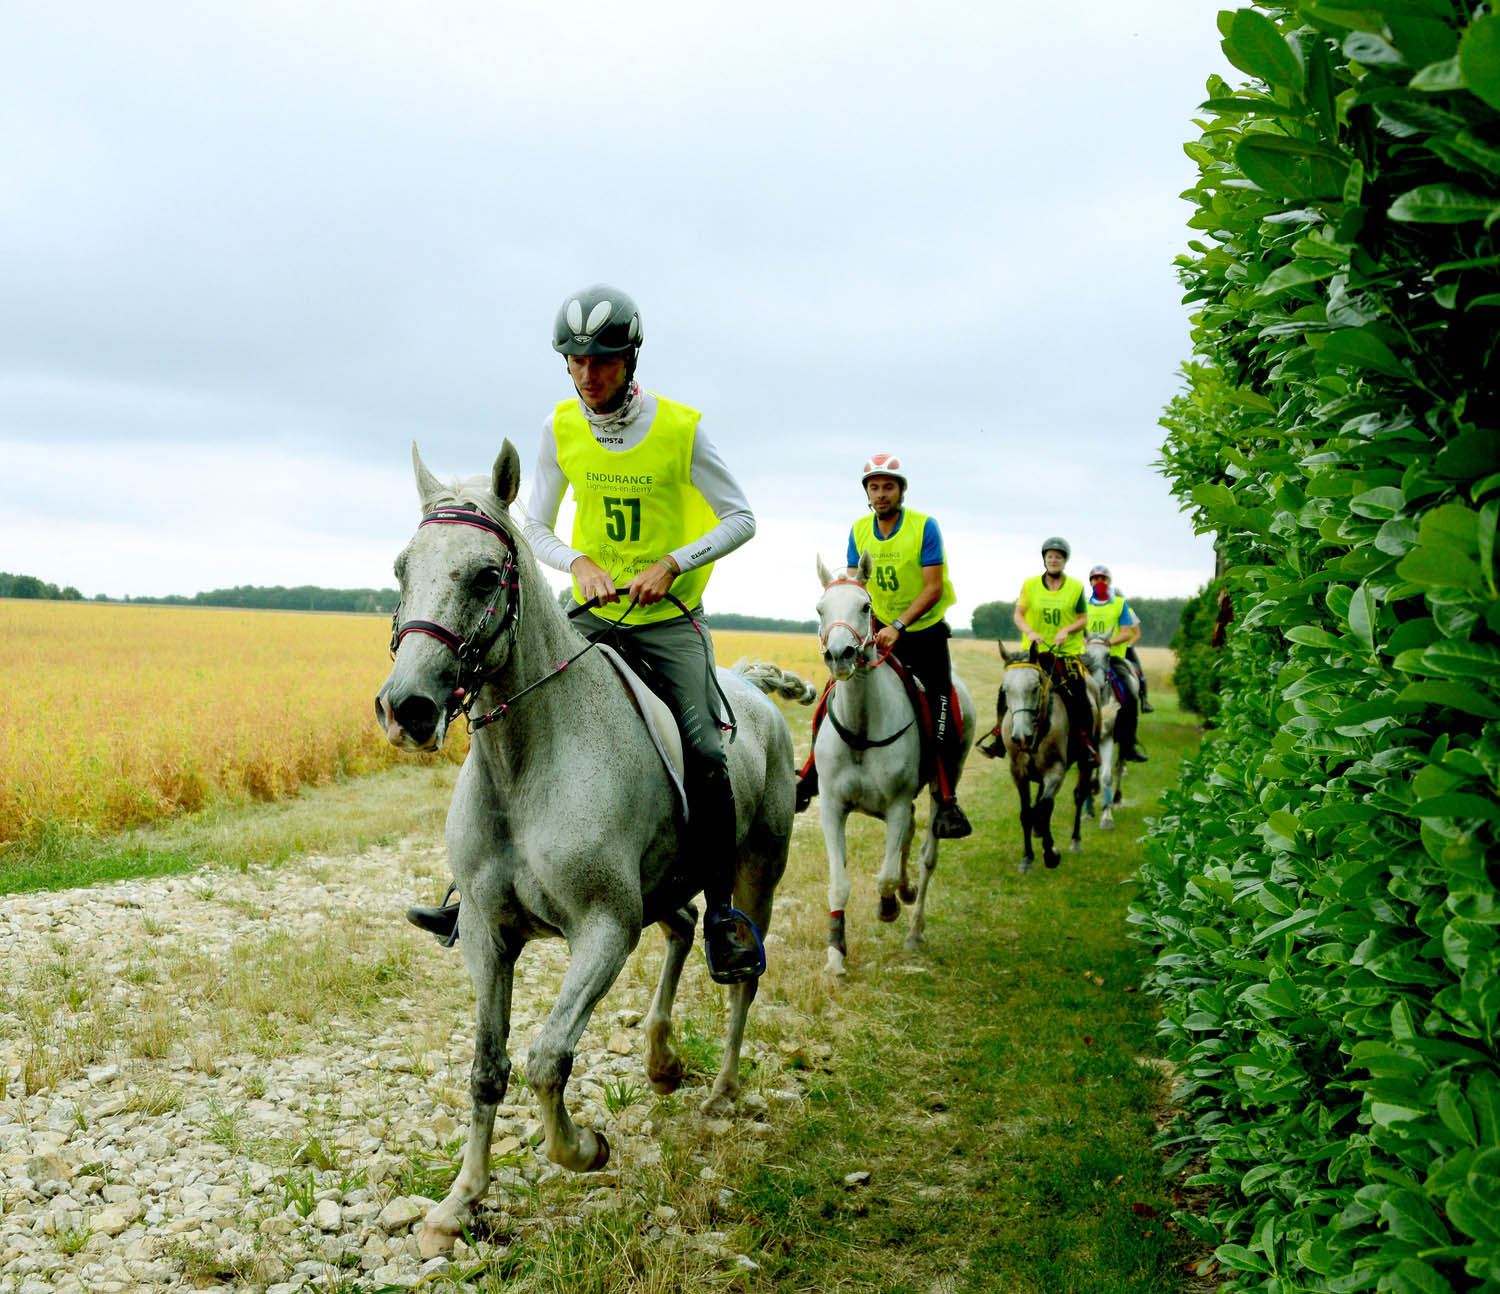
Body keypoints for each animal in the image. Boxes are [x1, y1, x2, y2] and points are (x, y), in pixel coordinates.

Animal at [375, 443, 798, 1253]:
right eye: (402, 568)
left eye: (486, 575)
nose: (406, 708)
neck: (526, 763)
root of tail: (752, 689)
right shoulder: (488, 934)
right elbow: (488, 1066)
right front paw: (458, 1203)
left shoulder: (603, 930)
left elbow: (546, 1059)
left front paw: (584, 1149)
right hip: (661, 888)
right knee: (682, 928)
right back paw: (663, 1063)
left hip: (756, 871)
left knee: (742, 972)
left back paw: (721, 1090)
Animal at [816, 551, 978, 977]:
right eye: (821, 608)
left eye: (865, 607)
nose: (840, 656)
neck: (862, 727)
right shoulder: (832, 807)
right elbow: (838, 883)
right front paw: (835, 955)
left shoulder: (897, 804)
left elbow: (885, 876)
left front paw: (888, 906)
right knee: (909, 839)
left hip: (943, 784)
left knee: (926, 855)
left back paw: (914, 930)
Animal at [996, 644, 1104, 875]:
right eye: (1006, 690)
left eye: (1035, 687)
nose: (1021, 737)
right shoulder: (1018, 773)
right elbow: (1027, 812)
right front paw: (1027, 858)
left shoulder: (1056, 771)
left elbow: (1044, 808)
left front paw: (1051, 854)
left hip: (1085, 762)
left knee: (1079, 795)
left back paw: (1075, 841)